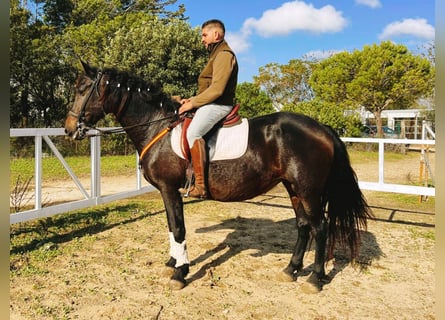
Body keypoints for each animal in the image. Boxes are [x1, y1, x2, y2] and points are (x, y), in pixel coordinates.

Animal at [64, 60, 372, 292]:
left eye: (82, 88)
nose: (68, 129)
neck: (157, 126)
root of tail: (322, 128)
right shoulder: (166, 191)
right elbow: (170, 227)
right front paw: (172, 263)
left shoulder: (169, 189)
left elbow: (178, 228)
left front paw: (181, 273)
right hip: (293, 188)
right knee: (304, 226)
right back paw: (291, 269)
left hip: (309, 190)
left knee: (320, 228)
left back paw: (315, 279)